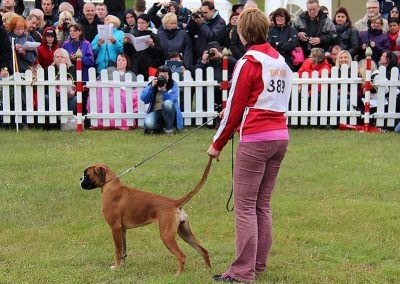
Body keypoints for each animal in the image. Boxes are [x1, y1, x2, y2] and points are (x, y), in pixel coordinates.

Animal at [80, 158, 212, 276]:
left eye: (86, 175)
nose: (80, 179)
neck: (111, 185)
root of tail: (175, 203)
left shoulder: (115, 228)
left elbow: (118, 250)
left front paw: (116, 267)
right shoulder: (123, 230)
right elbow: (124, 251)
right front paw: (122, 266)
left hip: (167, 235)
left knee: (181, 255)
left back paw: (177, 275)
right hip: (185, 233)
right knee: (203, 250)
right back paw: (208, 272)